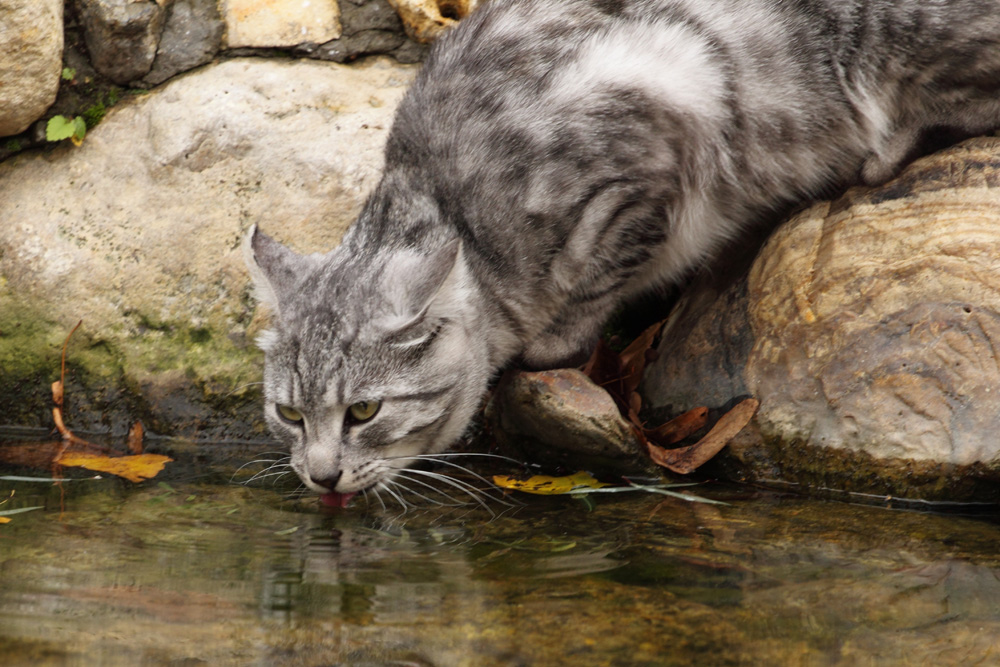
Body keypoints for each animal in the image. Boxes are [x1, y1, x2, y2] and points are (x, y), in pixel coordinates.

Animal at [244, 0, 1000, 504]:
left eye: (363, 412)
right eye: (290, 415)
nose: (320, 474)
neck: (446, 197)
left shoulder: (651, 150)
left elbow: (596, 279)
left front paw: (551, 339)